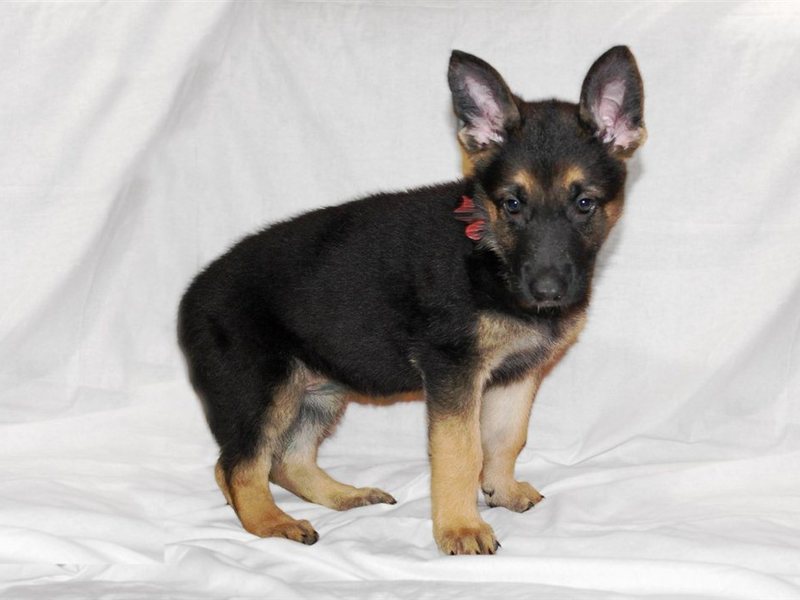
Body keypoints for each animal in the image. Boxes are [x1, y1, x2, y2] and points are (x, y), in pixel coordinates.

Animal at [178, 46, 645, 555]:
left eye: (584, 203)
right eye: (513, 204)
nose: (547, 293)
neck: (489, 253)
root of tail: (192, 293)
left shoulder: (516, 375)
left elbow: (506, 438)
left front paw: (501, 490)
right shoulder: (453, 373)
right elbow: (462, 451)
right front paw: (461, 527)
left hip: (318, 391)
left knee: (286, 460)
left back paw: (344, 496)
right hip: (261, 391)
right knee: (238, 466)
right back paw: (269, 521)